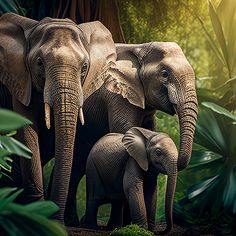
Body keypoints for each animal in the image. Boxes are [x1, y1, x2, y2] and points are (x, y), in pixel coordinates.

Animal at [0, 12, 116, 223]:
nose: (56, 218)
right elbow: (27, 132)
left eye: (84, 67)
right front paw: (36, 215)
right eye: (39, 63)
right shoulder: (20, 79)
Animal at [65, 41, 197, 226]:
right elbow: (123, 130)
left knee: (77, 163)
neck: (139, 48)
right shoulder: (116, 94)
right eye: (164, 74)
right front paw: (129, 224)